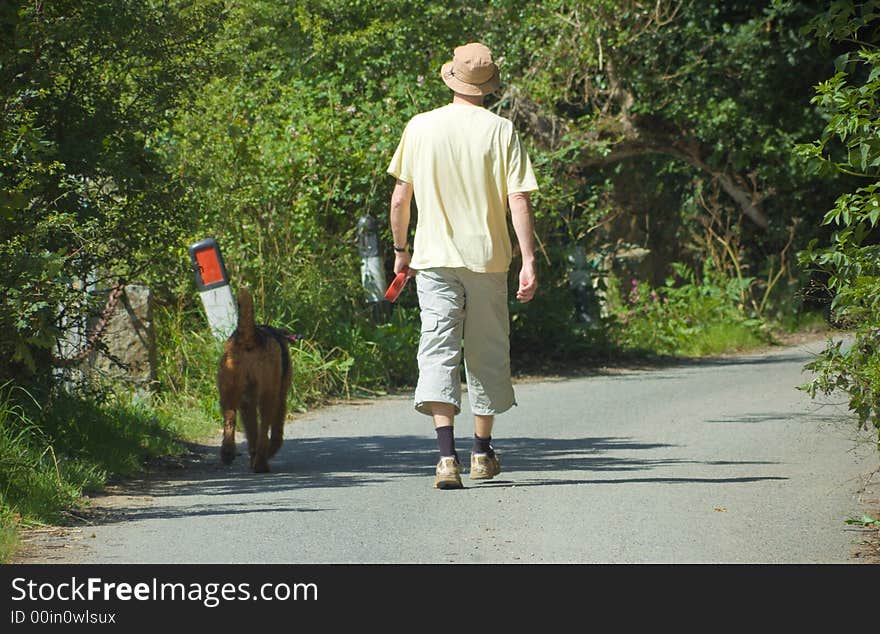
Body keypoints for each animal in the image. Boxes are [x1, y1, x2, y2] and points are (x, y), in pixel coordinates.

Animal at [217, 286, 294, 470]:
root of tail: (249, 337)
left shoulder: (247, 402)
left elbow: (251, 432)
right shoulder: (280, 396)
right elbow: (275, 430)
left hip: (228, 391)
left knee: (230, 421)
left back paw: (228, 453)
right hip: (268, 394)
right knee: (264, 431)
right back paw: (261, 463)